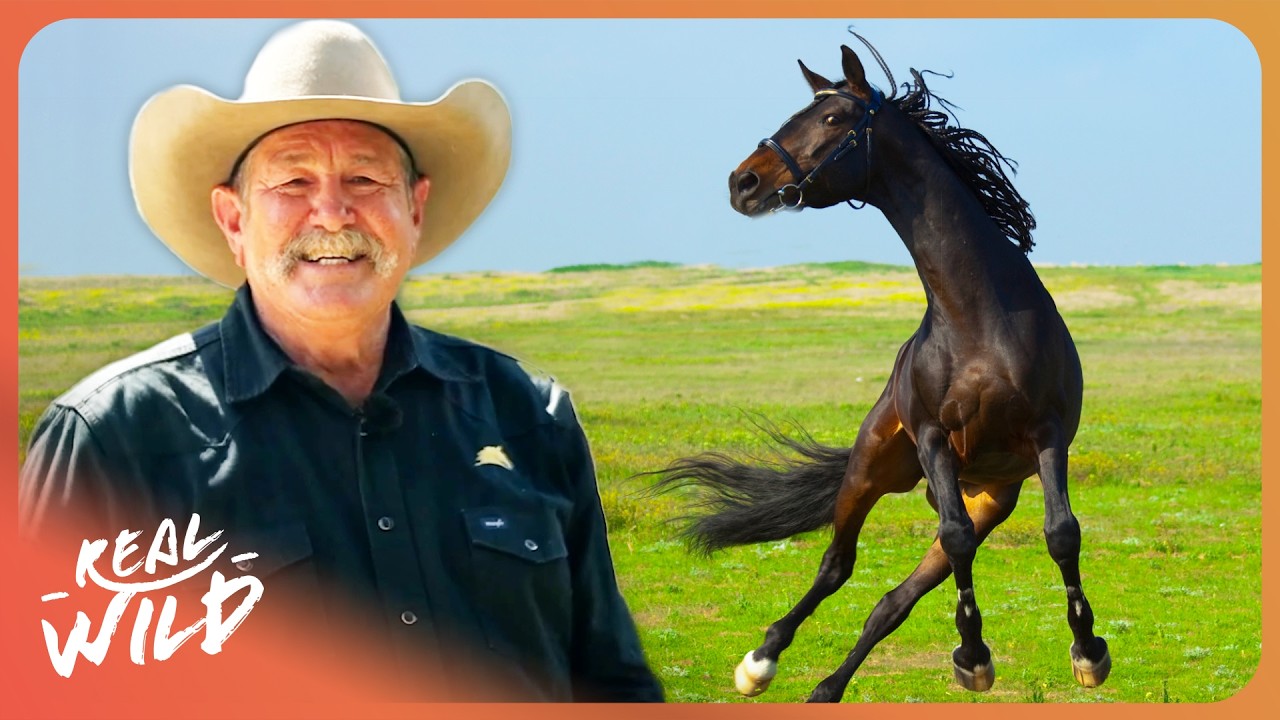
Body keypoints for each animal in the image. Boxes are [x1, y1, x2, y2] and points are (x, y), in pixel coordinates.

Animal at [653, 44, 1111, 703]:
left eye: (831, 118)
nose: (743, 182)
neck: (978, 318)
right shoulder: (933, 439)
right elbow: (955, 538)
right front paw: (974, 655)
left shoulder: (1047, 435)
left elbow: (1061, 533)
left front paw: (1086, 650)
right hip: (872, 467)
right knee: (835, 566)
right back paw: (760, 662)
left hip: (988, 497)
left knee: (893, 602)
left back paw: (826, 688)